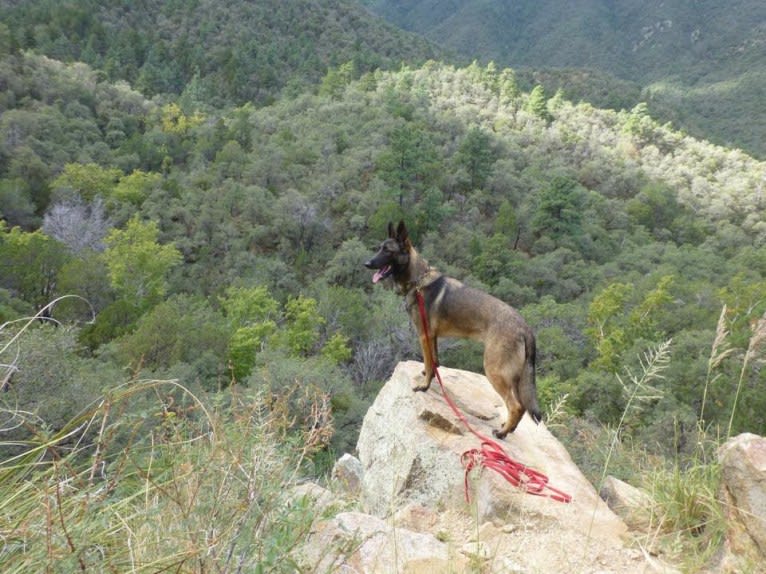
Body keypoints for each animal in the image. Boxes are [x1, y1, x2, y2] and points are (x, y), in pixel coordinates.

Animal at [368, 223, 544, 438]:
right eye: (379, 248)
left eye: (388, 250)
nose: (367, 263)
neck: (418, 280)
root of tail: (525, 327)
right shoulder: (432, 337)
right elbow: (433, 362)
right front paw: (429, 377)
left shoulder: (423, 335)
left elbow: (428, 362)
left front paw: (424, 386)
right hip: (514, 377)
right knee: (521, 406)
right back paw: (507, 429)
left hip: (495, 370)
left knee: (516, 405)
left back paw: (502, 433)